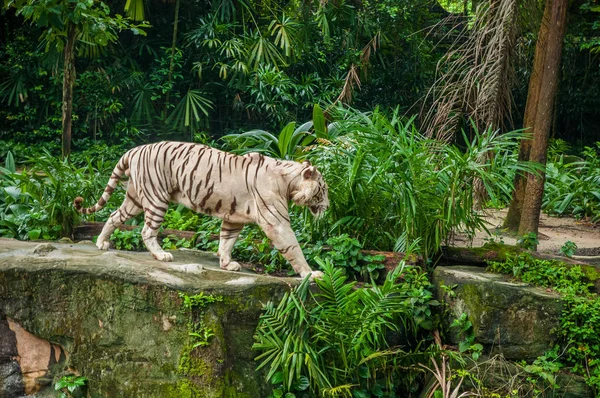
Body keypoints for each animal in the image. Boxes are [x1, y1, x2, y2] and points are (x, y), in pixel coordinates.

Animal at [75, 141, 330, 278]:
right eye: (324, 189)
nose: (328, 207)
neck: (289, 181)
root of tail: (134, 150)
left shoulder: (234, 217)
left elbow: (226, 241)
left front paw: (226, 264)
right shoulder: (275, 221)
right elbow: (293, 247)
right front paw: (311, 274)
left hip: (135, 198)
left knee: (113, 215)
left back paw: (101, 243)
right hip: (157, 198)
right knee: (147, 231)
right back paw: (161, 255)